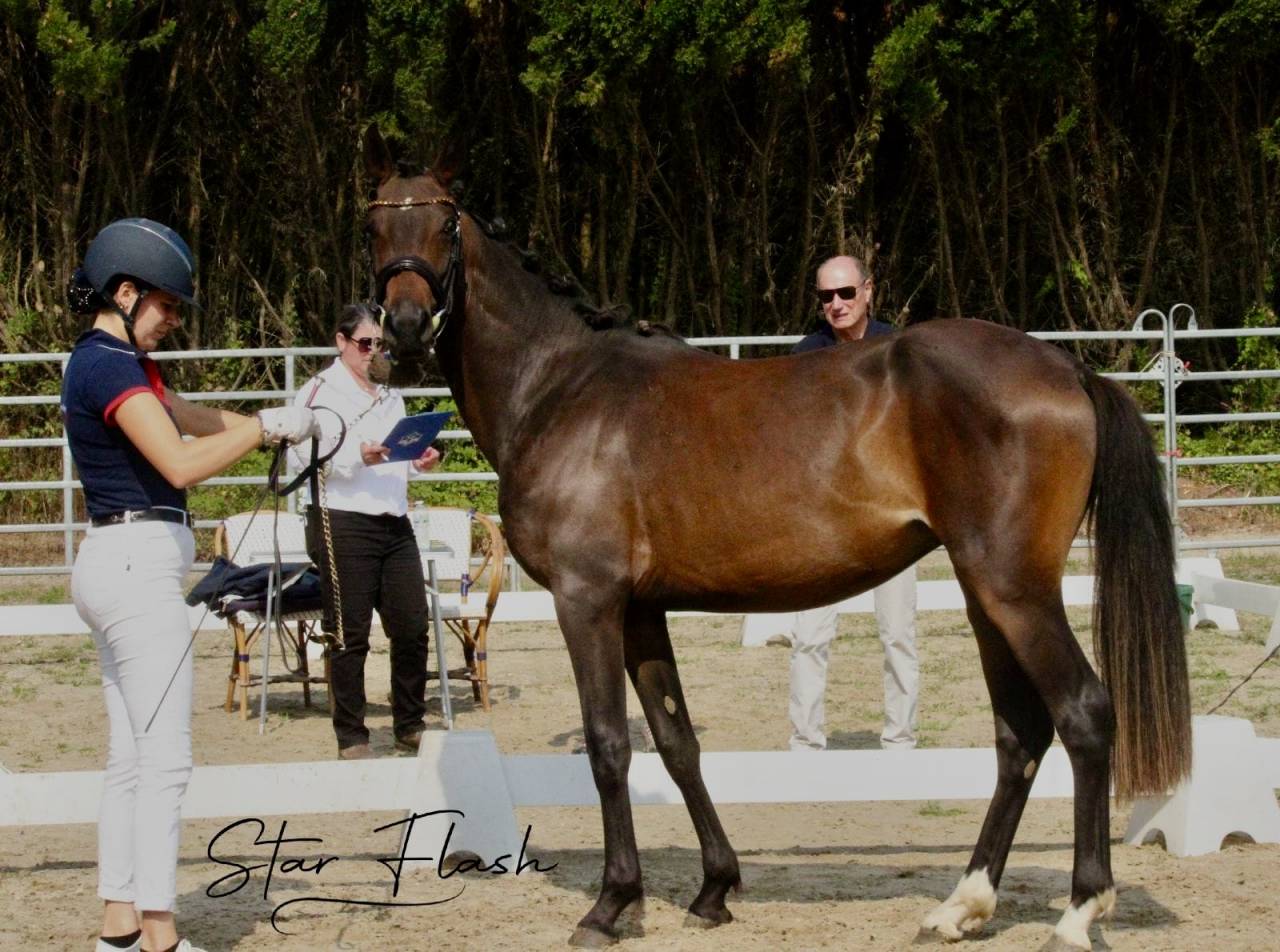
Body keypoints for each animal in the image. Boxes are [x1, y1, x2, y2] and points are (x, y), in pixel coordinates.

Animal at [361, 125, 1191, 950]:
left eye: (444, 223)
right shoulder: (640, 609)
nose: (402, 329)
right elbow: (676, 743)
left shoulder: (586, 600)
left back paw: (1080, 911)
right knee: (1019, 734)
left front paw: (610, 904)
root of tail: (1066, 367)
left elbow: (608, 744)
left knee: (1084, 714)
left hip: (1016, 589)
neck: (560, 386)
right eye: (374, 225)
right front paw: (712, 889)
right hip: (987, 592)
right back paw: (963, 905)